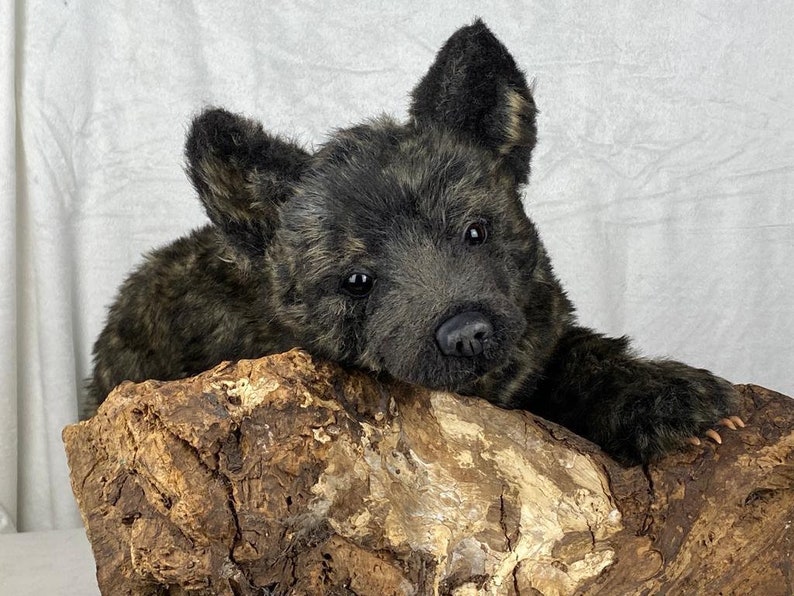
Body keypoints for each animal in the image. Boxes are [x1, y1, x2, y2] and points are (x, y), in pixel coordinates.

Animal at [85, 20, 740, 464]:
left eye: (475, 231)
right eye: (357, 280)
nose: (469, 333)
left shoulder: (539, 338)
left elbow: (586, 354)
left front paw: (662, 397)